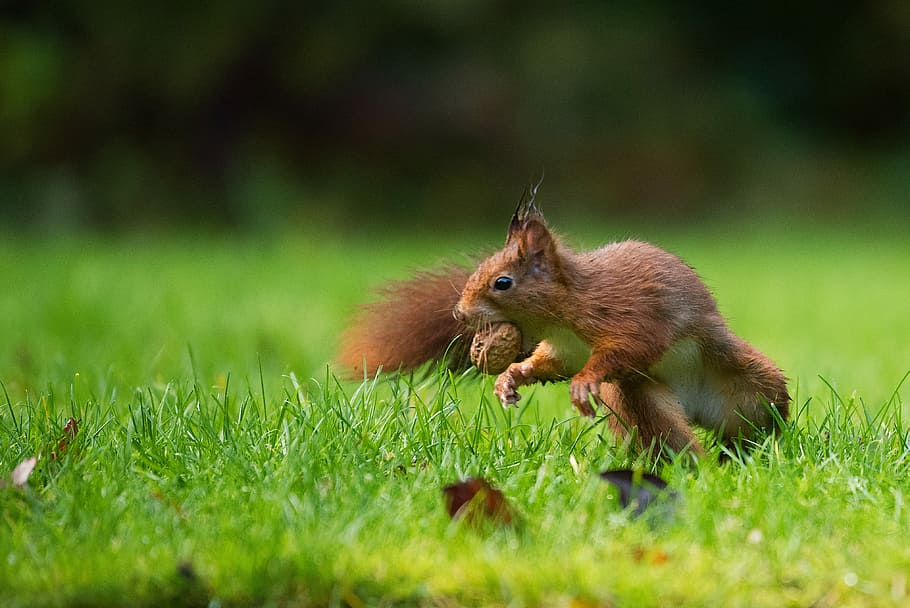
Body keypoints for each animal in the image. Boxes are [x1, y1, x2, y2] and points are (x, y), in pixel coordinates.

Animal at [339, 186, 790, 456]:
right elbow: (547, 365)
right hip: (642, 401)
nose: (459, 313)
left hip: (749, 386)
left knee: (758, 417)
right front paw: (511, 378)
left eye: (503, 282)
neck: (562, 315)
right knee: (668, 436)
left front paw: (584, 382)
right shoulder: (563, 349)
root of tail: (693, 404)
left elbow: (627, 348)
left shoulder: (630, 314)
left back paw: (758, 449)